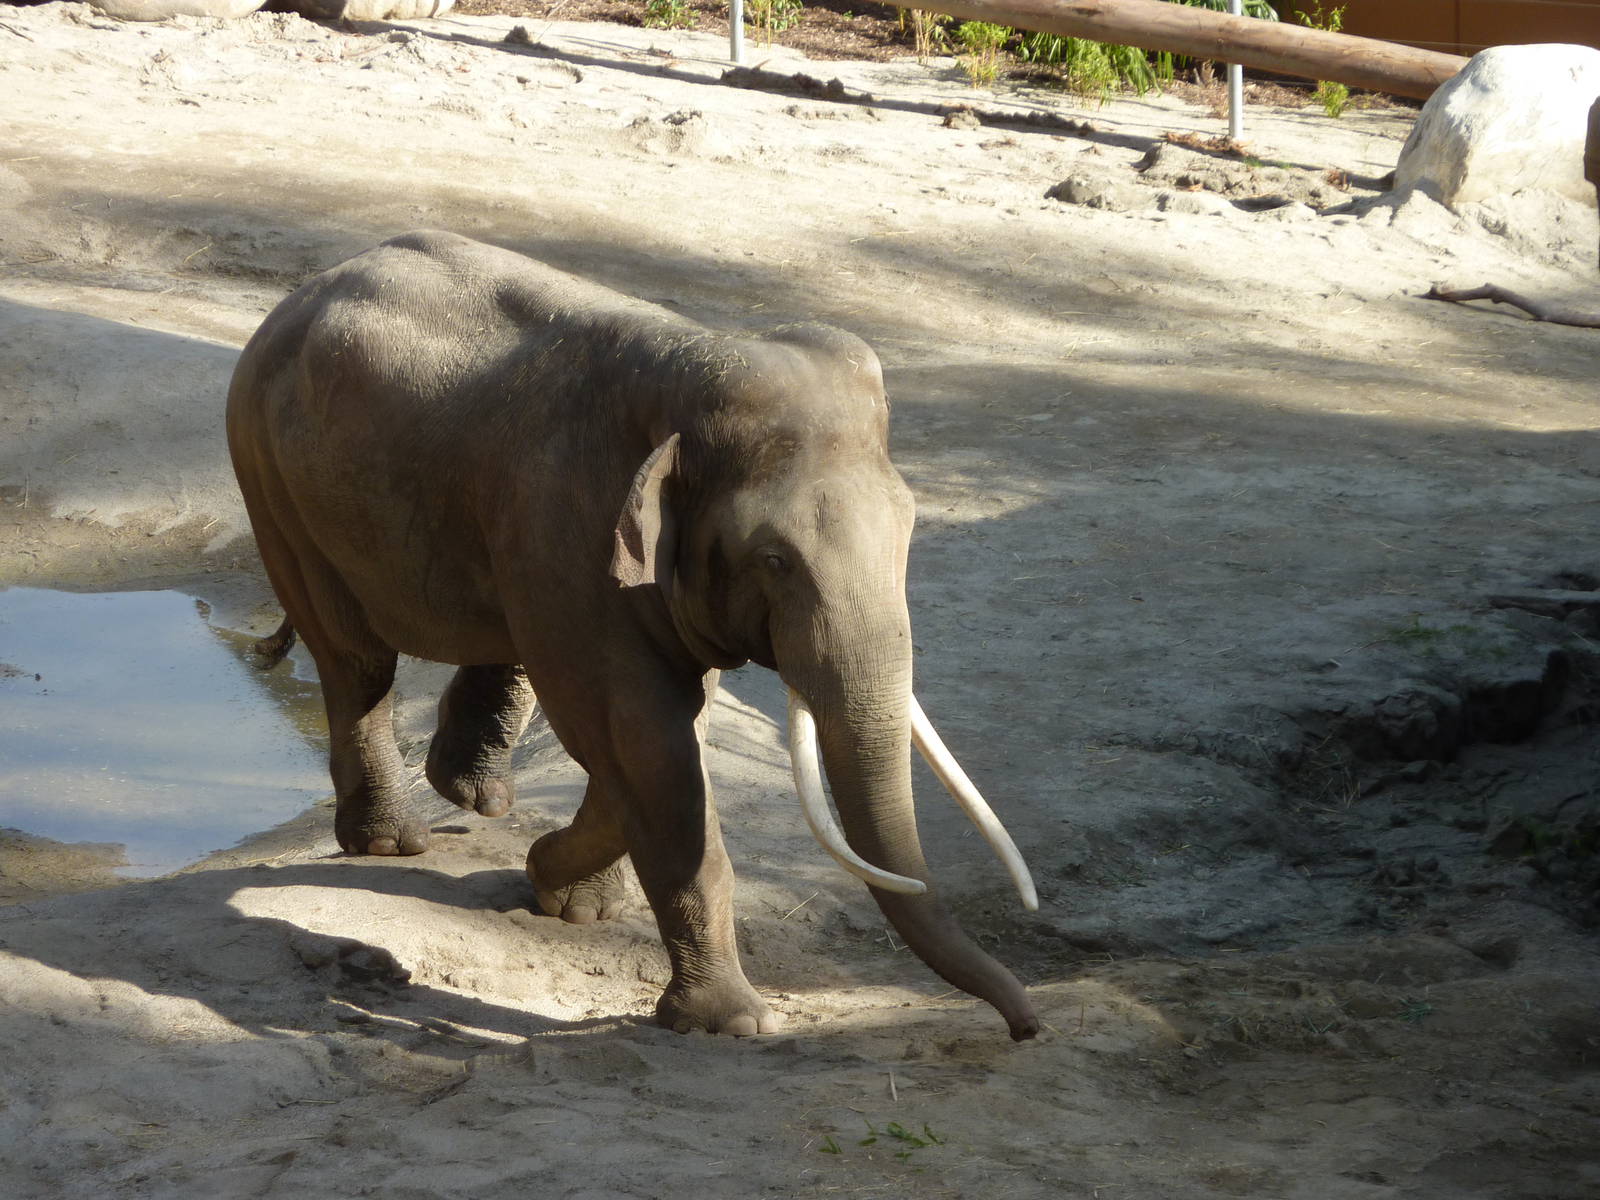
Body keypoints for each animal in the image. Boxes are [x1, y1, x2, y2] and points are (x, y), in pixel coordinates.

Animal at [226, 231, 1039, 1040]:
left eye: (908, 531)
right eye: (774, 559)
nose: (1025, 1027)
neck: (692, 366)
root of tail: (309, 287)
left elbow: (655, 739)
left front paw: (569, 900)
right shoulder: (575, 533)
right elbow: (648, 742)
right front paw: (730, 1023)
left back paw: (473, 793)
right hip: (268, 475)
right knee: (355, 659)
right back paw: (392, 839)